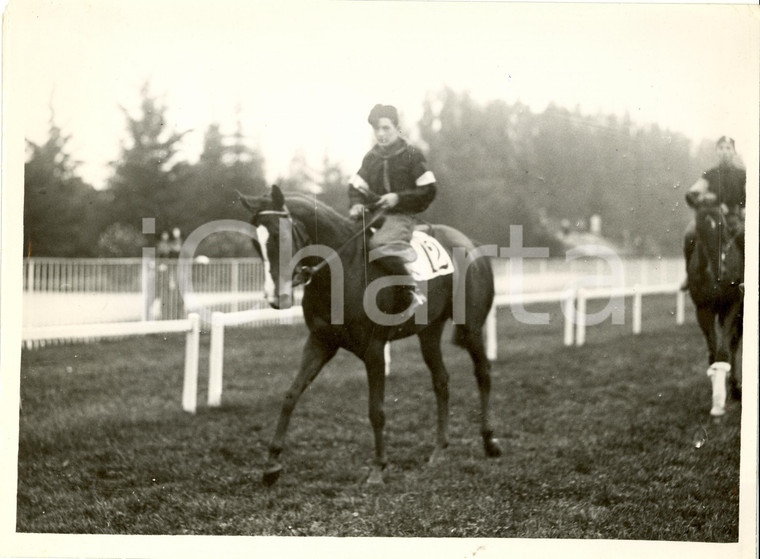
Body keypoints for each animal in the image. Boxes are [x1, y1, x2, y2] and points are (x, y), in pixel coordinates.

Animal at [238, 187, 498, 486]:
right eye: (256, 243)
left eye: (280, 235)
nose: (275, 298)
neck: (342, 271)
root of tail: (471, 243)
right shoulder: (320, 342)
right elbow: (291, 394)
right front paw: (272, 464)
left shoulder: (374, 350)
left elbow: (376, 411)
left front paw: (378, 468)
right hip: (429, 333)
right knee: (441, 381)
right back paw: (439, 451)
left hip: (471, 327)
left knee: (483, 372)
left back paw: (490, 441)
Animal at [688, 199, 744, 422]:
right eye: (699, 229)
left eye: (723, 226)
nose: (721, 271)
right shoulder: (703, 309)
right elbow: (713, 351)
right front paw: (717, 398)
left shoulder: (733, 305)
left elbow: (723, 351)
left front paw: (720, 401)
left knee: (734, 346)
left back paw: (736, 389)